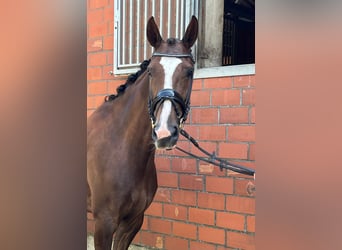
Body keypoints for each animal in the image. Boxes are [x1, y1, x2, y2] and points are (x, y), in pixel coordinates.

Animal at [87, 16, 199, 249]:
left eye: (189, 71)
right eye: (150, 72)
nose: (164, 133)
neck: (121, 149)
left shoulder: (133, 222)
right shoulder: (103, 223)